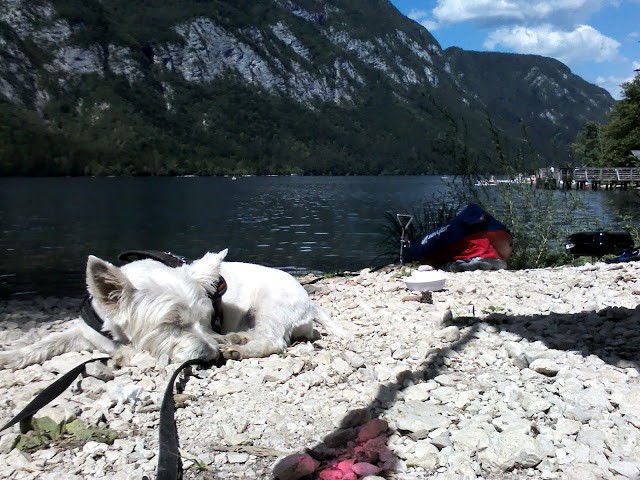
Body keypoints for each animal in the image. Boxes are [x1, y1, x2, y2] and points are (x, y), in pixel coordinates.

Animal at [0, 249, 344, 370]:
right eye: (171, 324)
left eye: (206, 319)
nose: (211, 355)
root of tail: (310, 300)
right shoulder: (84, 331)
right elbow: (47, 342)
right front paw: (11, 357)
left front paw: (125, 356)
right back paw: (237, 340)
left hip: (271, 305)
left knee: (273, 340)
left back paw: (239, 348)